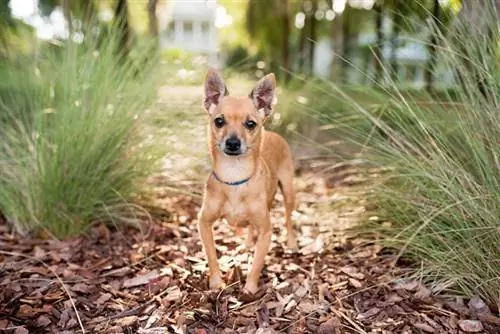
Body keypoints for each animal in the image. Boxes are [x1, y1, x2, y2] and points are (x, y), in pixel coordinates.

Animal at [196, 68, 296, 294]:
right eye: (219, 121)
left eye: (250, 124)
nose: (233, 143)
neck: (235, 177)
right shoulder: (204, 223)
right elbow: (211, 255)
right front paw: (216, 283)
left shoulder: (267, 232)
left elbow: (257, 264)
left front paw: (249, 289)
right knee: (252, 226)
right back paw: (249, 243)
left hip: (288, 191)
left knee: (288, 218)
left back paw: (292, 242)